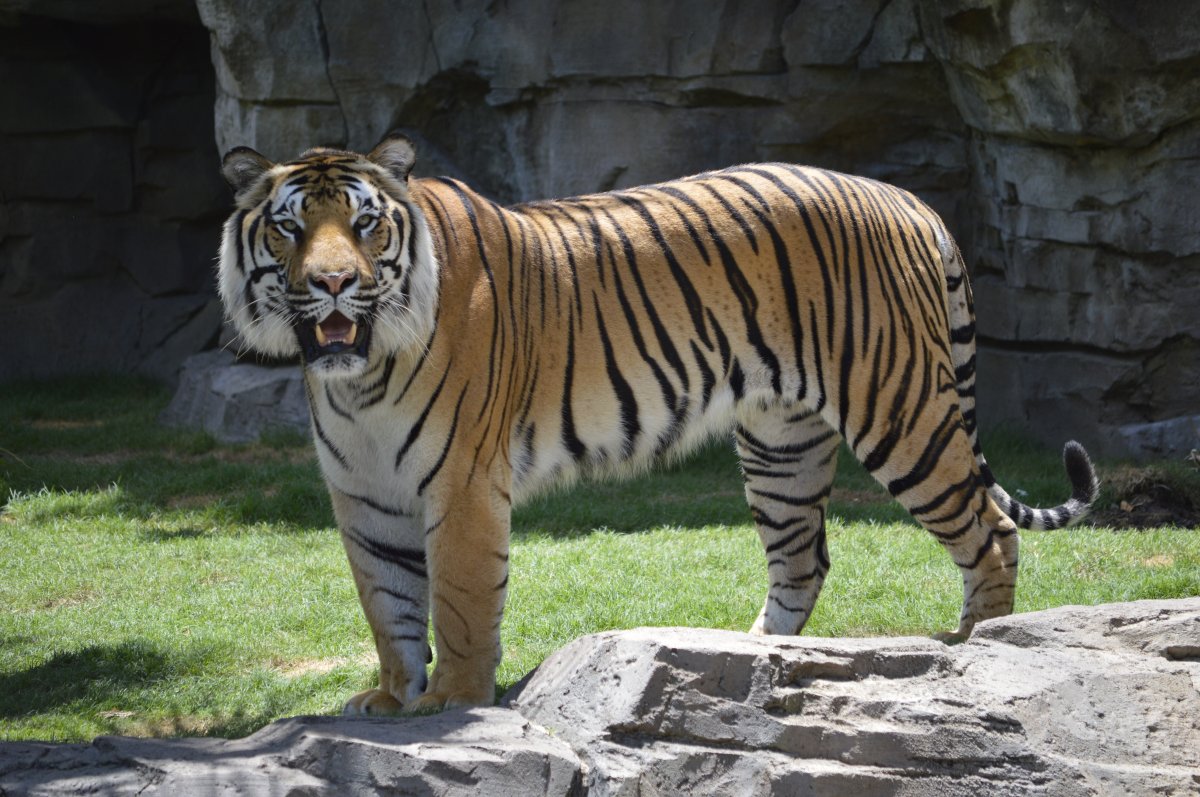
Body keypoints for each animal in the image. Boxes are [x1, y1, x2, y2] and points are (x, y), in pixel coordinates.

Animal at [213, 133, 1099, 710]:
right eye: (291, 227)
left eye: (365, 225)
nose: (332, 283)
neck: (359, 378)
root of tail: (907, 198)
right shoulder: (365, 495)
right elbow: (388, 605)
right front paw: (394, 700)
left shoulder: (461, 484)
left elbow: (459, 602)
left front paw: (451, 704)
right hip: (781, 441)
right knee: (803, 560)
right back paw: (760, 658)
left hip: (900, 408)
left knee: (990, 531)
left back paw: (983, 653)